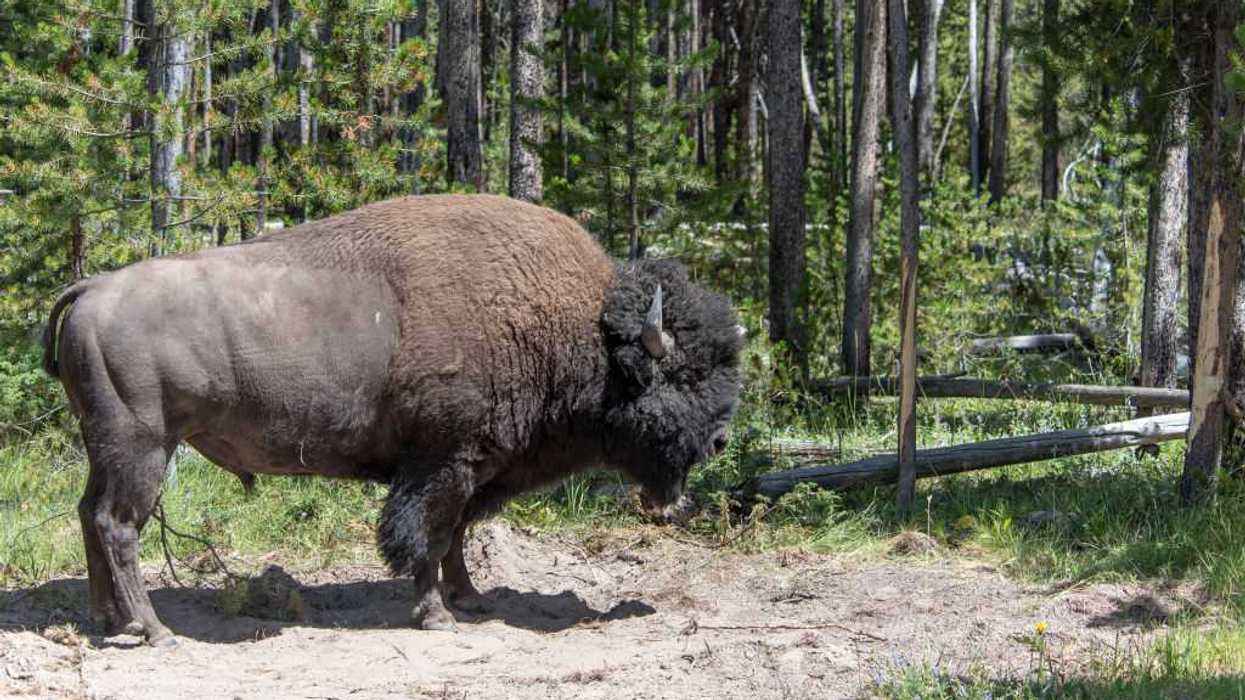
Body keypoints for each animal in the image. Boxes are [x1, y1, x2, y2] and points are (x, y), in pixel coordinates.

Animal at [42, 194, 743, 645]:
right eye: (682, 376)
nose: (718, 439)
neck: (578, 328)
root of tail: (90, 289)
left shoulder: (472, 468)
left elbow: (456, 535)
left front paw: (470, 597)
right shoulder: (441, 464)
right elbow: (426, 538)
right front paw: (436, 615)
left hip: (106, 446)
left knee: (88, 513)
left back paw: (107, 621)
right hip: (144, 447)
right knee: (119, 525)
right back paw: (154, 630)